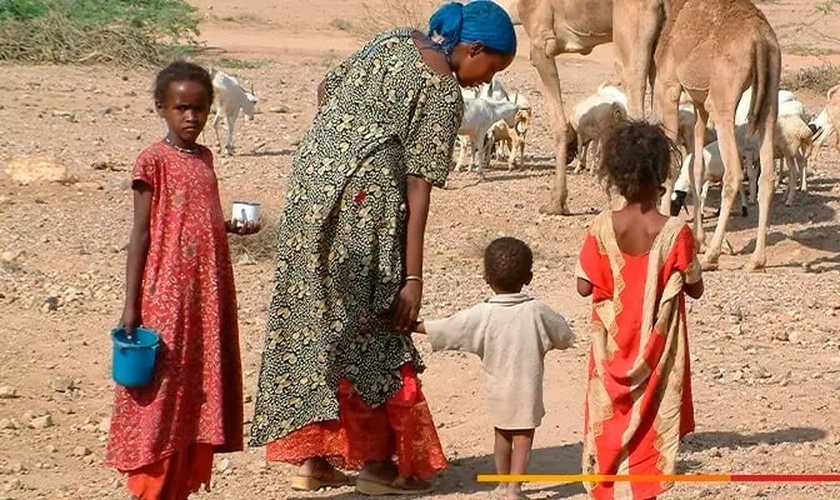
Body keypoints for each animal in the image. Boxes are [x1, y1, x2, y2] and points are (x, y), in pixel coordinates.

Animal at [652, 0, 784, 272]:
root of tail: (761, 39)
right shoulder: (699, 102)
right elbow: (696, 168)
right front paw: (698, 240)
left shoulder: (669, 87)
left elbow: (672, 163)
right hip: (770, 97)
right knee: (766, 177)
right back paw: (756, 259)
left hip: (723, 98)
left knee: (733, 174)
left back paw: (712, 256)